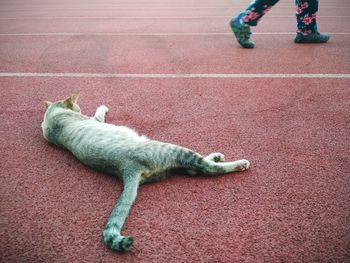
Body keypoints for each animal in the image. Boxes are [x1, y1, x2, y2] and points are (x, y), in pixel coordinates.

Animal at [41, 94, 250, 253]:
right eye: (77, 106)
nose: (78, 108)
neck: (52, 118)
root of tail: (126, 169)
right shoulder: (93, 119)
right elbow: (98, 112)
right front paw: (102, 106)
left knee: (193, 169)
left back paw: (216, 156)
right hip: (170, 149)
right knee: (206, 168)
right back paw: (238, 164)